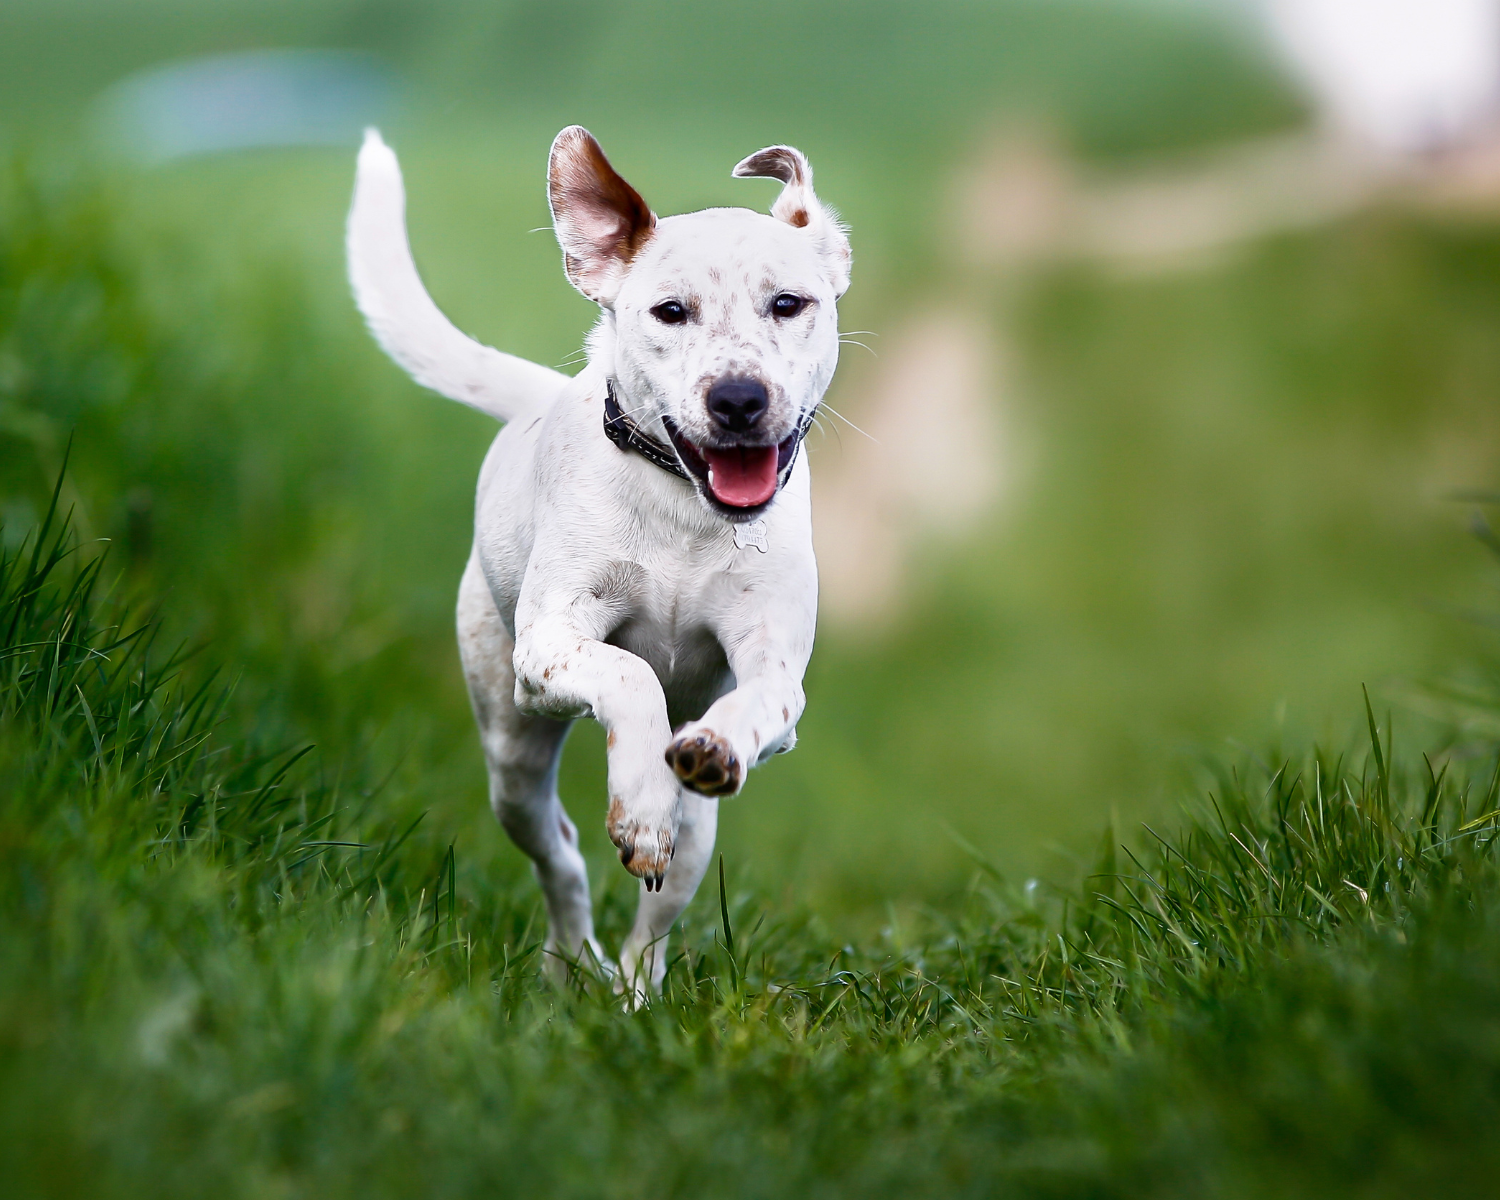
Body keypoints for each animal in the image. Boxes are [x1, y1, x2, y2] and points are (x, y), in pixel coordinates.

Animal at [343, 124, 852, 996]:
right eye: (669, 311)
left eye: (789, 304)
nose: (739, 399)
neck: (686, 507)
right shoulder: (550, 646)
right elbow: (632, 672)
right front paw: (639, 803)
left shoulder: (774, 668)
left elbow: (762, 701)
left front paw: (710, 750)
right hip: (512, 756)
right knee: (564, 856)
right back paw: (573, 962)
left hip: (698, 841)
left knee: (655, 920)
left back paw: (633, 993)